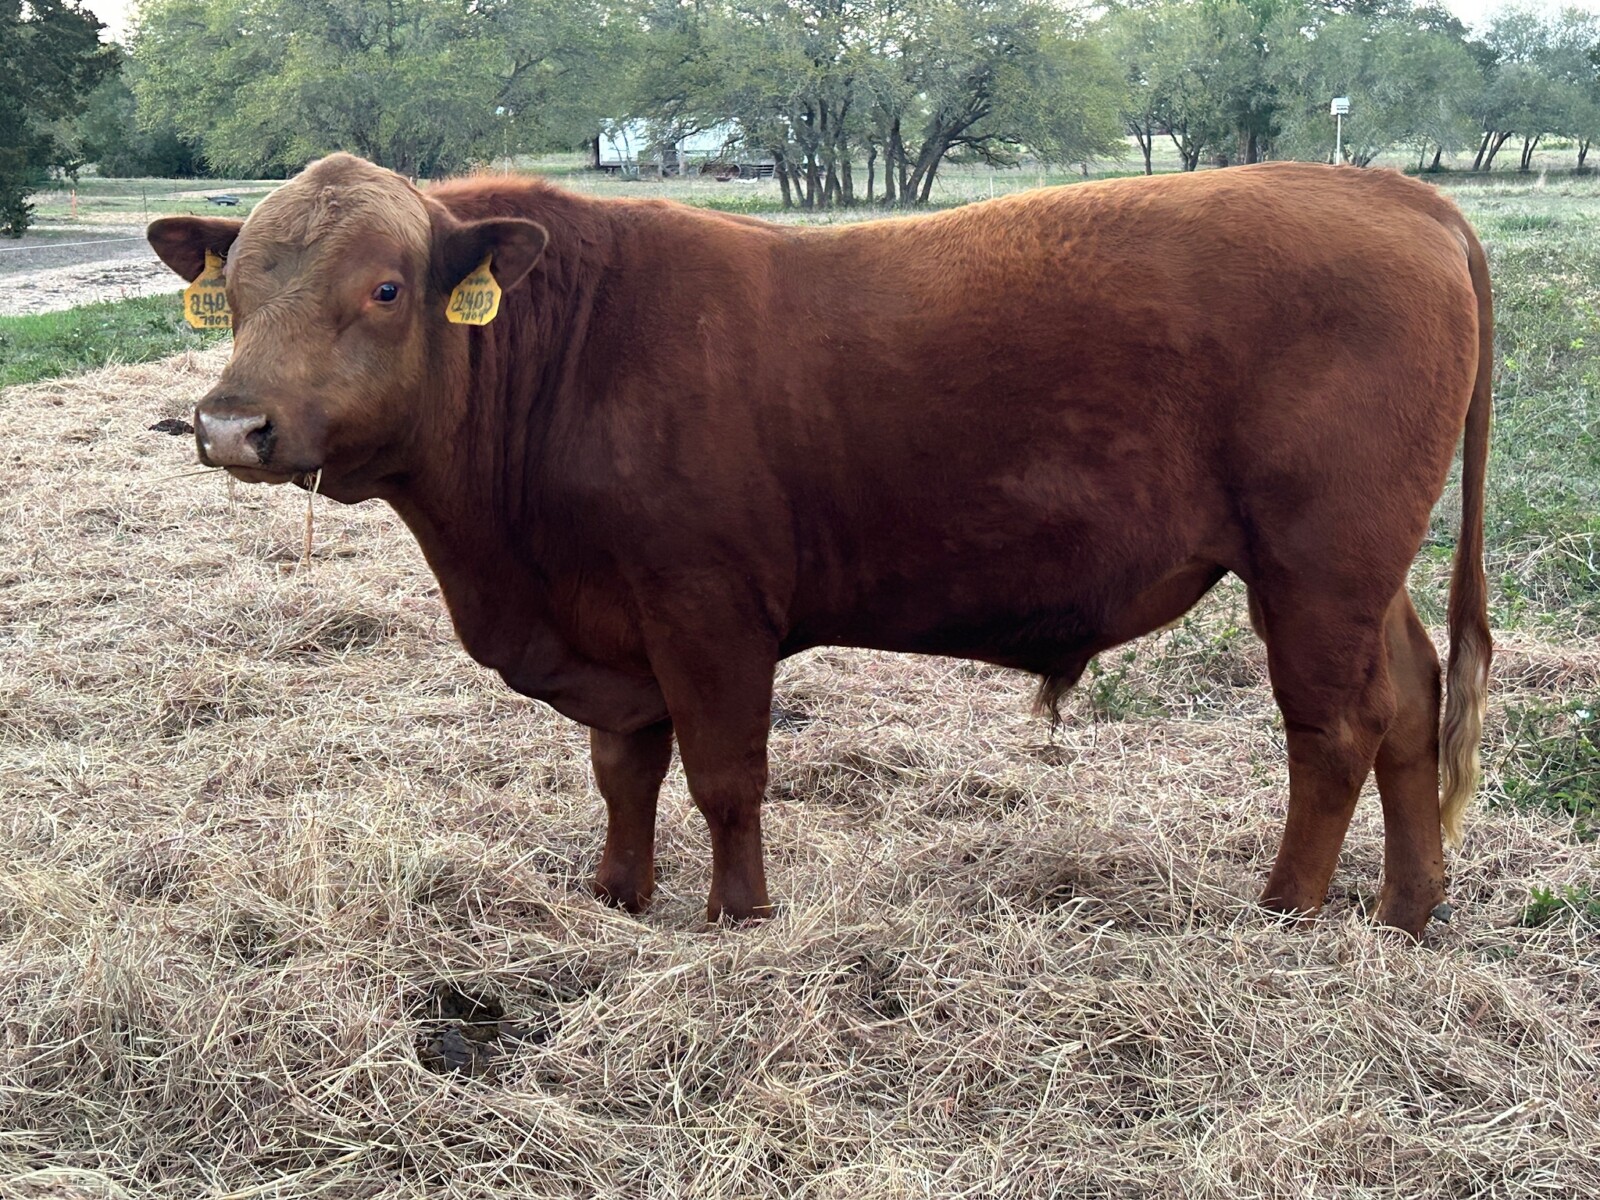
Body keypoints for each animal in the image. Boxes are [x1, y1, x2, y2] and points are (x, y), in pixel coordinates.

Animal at [147, 153, 1492, 937]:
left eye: (383, 289)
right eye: (238, 287)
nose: (230, 425)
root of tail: (1392, 190)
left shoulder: (707, 609)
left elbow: (724, 776)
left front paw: (737, 918)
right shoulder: (609, 628)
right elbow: (622, 771)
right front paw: (617, 899)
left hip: (1314, 562)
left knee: (1334, 728)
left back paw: (1283, 918)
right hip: (1362, 571)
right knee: (1410, 701)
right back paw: (1406, 910)